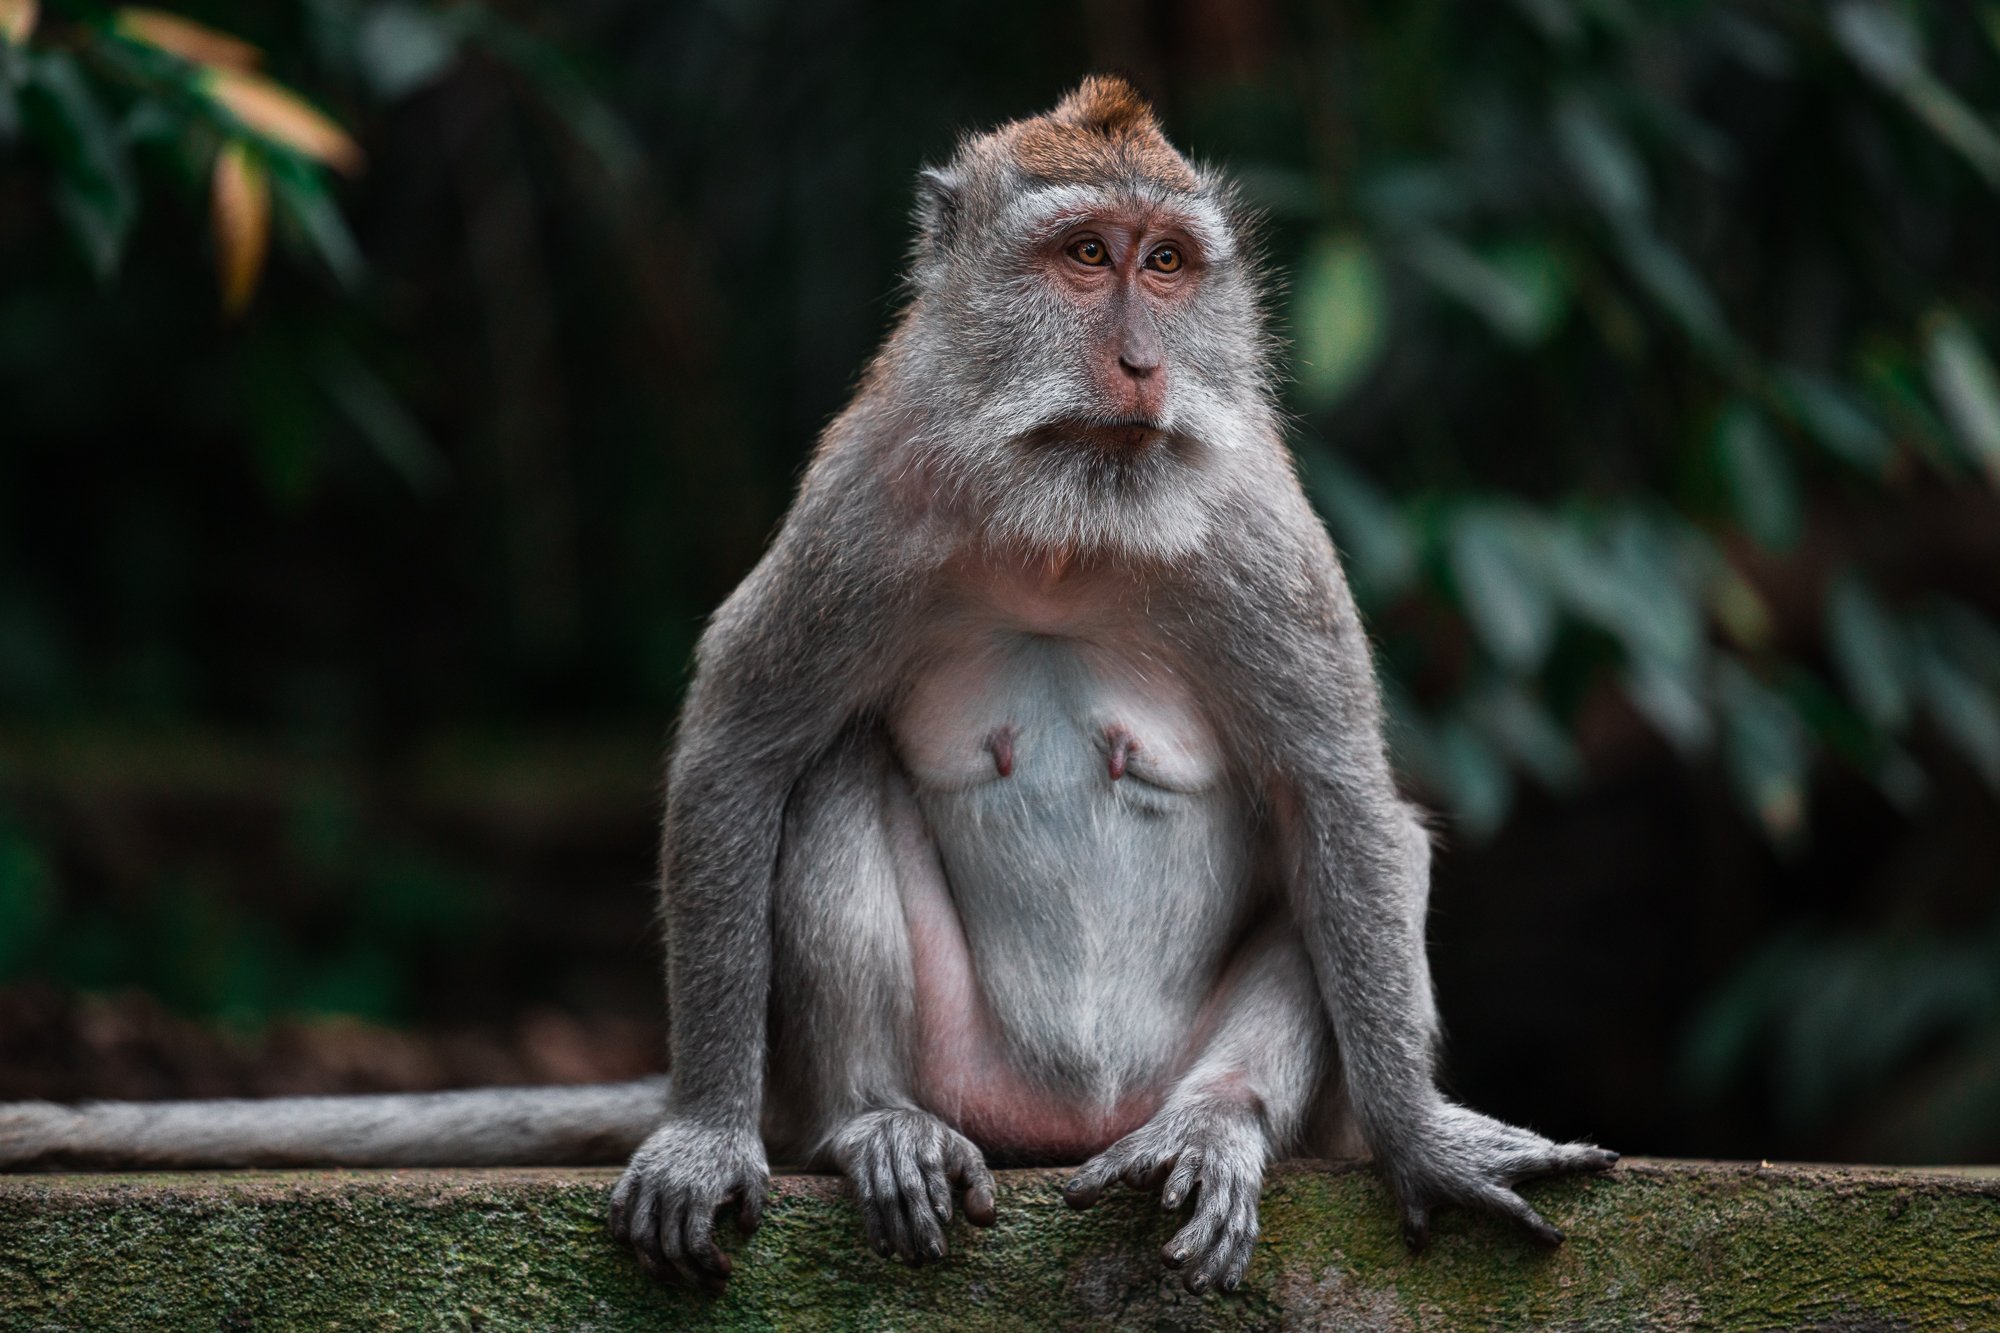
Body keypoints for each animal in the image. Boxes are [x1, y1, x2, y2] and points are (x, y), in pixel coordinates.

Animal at [0, 77, 1615, 1296]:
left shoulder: (1256, 539)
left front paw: (1420, 1138)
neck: (1065, 530)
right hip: (962, 1070)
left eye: (1168, 265)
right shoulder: (867, 501)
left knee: (1338, 861)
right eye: (1083, 259)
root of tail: (1064, 1123)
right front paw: (711, 1134)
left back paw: (1214, 1130)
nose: (1143, 361)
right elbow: (740, 751)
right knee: (830, 775)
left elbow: (1340, 797)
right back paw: (869, 1126)